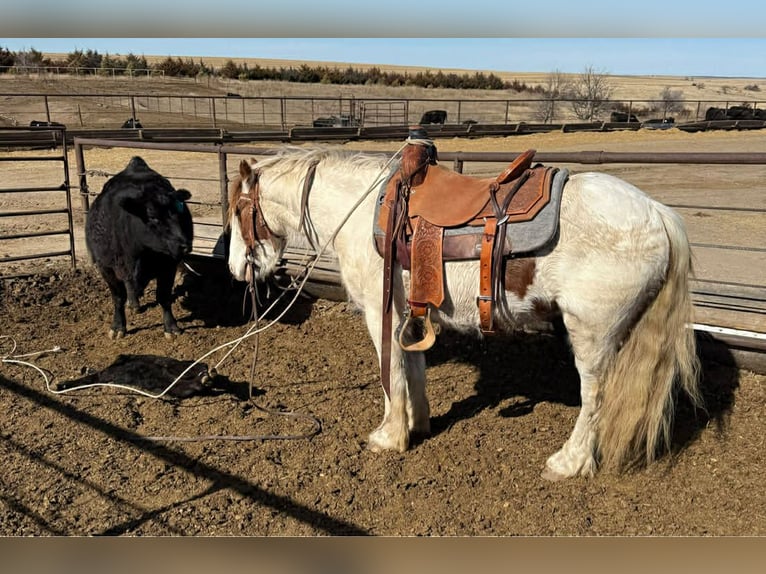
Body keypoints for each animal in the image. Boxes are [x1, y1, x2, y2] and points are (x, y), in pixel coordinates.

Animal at [225, 145, 702, 480]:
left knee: (595, 397)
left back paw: (569, 462)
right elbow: (414, 368)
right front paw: (417, 423)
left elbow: (391, 372)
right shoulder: (410, 313)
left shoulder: (381, 312)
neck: (361, 212)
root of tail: (659, 214)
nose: (235, 269)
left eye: (239, 210)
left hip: (592, 335)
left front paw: (389, 436)